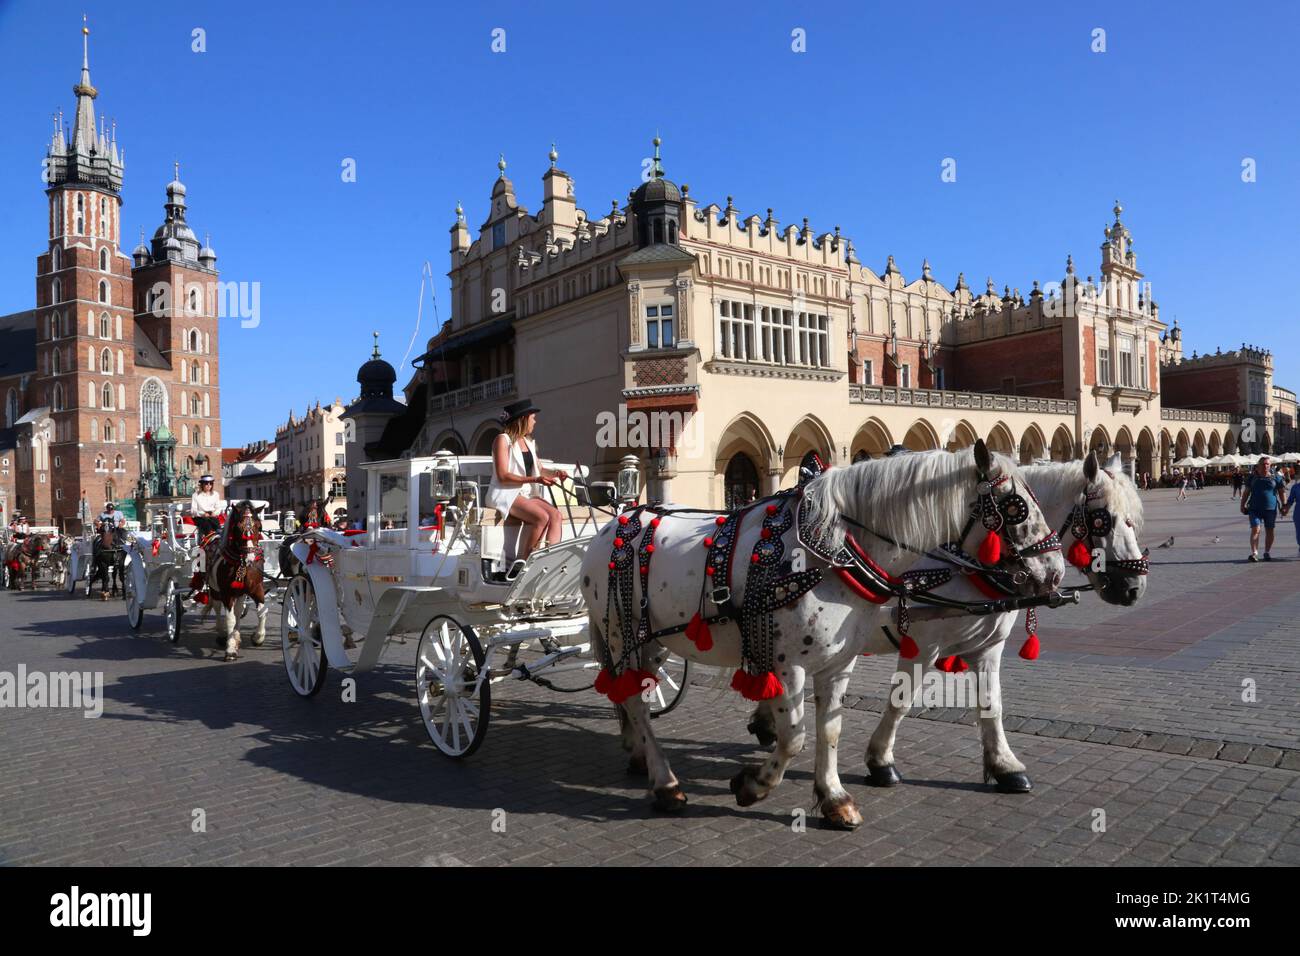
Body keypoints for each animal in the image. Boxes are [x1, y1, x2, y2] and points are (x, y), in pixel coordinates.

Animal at [204, 502, 267, 665]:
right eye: (238, 528)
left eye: (259, 526)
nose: (250, 557)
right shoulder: (227, 594)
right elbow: (230, 619)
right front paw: (230, 649)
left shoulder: (257, 589)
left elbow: (262, 612)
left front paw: (258, 637)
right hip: (215, 590)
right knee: (218, 608)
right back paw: (222, 635)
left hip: (240, 593)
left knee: (238, 610)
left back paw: (237, 636)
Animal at [582, 442, 1066, 832]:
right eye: (1017, 507)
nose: (1055, 572)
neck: (832, 552)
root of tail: (614, 523)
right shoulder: (789, 665)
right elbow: (796, 735)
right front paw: (753, 785)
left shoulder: (840, 661)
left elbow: (831, 728)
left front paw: (834, 799)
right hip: (620, 633)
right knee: (635, 702)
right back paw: (665, 783)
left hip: (650, 641)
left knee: (632, 694)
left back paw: (639, 755)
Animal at [754, 452, 1149, 796]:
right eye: (1102, 519)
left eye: (1133, 519)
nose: (1134, 588)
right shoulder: (922, 646)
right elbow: (901, 701)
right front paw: (881, 762)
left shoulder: (989, 647)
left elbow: (992, 704)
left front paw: (1005, 766)